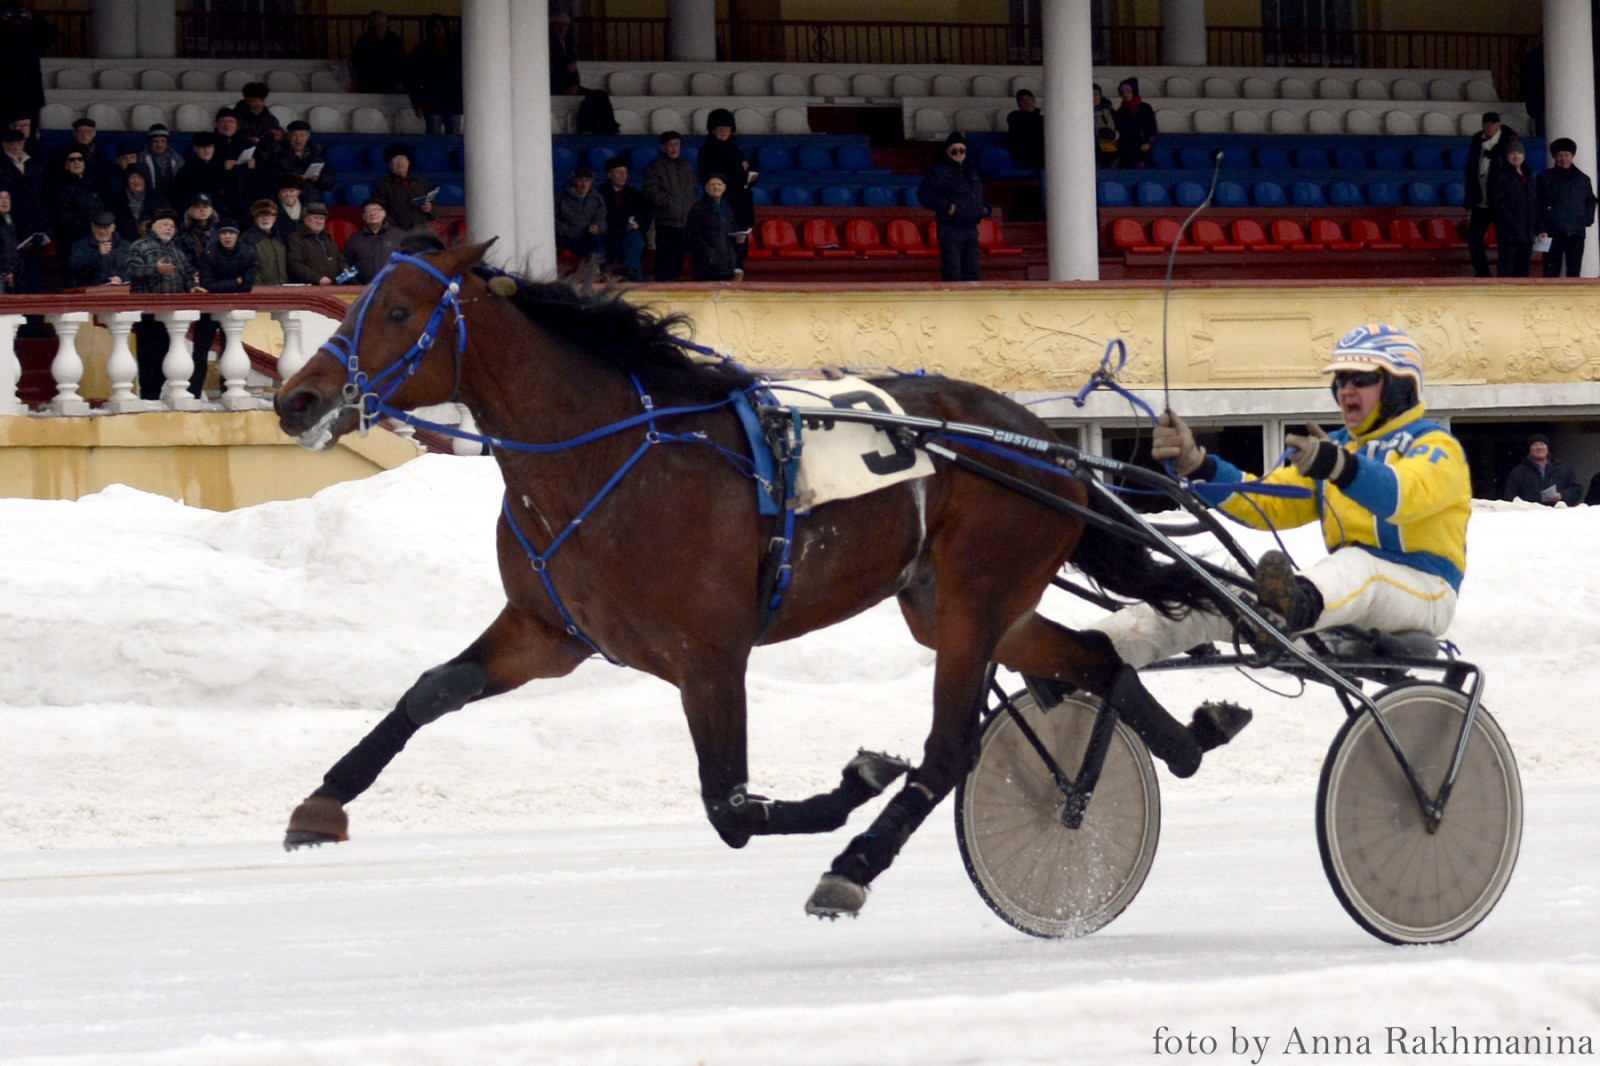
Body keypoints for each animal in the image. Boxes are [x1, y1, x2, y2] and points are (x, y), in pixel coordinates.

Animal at [278, 243, 1222, 915]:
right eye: (355, 303)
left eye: (398, 310)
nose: (298, 398)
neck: (609, 456)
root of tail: (1047, 446)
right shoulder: (550, 631)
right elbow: (431, 690)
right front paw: (322, 801)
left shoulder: (709, 655)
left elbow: (729, 808)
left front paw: (851, 786)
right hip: (955, 602)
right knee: (1096, 654)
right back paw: (1181, 744)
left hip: (975, 597)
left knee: (950, 747)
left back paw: (855, 865)